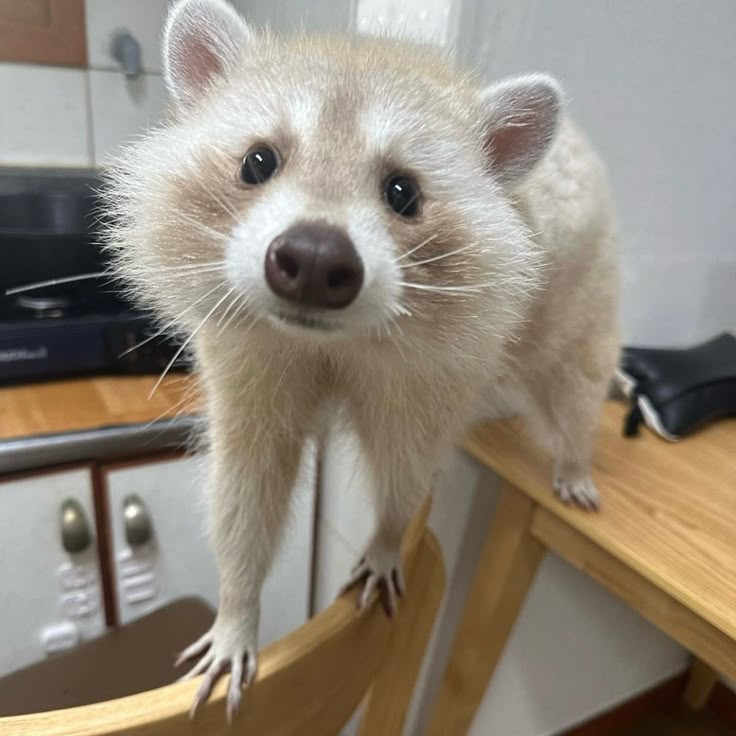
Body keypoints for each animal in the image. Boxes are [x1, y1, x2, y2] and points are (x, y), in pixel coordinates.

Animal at [103, 0, 620, 720]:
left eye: (403, 192)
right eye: (258, 161)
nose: (315, 258)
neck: (331, 342)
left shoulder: (433, 377)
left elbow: (406, 464)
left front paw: (387, 534)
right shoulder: (246, 358)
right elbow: (247, 485)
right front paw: (238, 606)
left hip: (581, 293)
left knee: (576, 382)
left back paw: (574, 454)